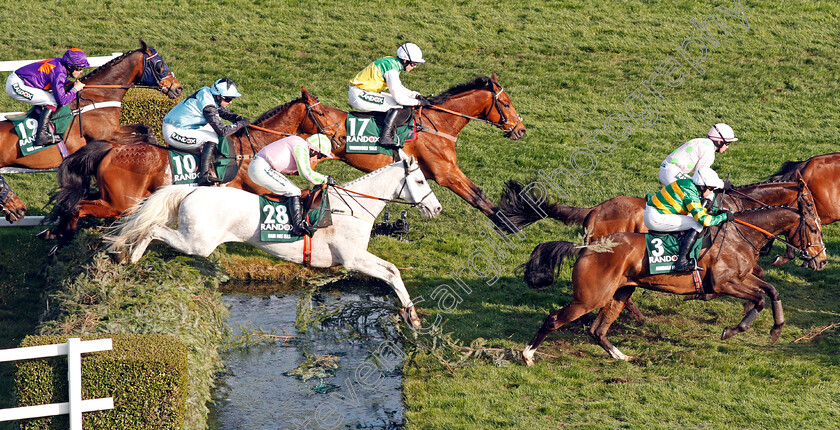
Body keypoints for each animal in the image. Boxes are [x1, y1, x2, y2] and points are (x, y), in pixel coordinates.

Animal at [105, 157, 440, 326]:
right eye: (420, 180)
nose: (436, 208)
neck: (352, 207)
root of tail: (193, 190)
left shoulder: (358, 257)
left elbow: (393, 271)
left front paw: (411, 315)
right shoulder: (353, 259)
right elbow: (391, 272)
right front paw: (412, 316)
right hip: (196, 242)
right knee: (153, 229)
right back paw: (129, 256)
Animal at [520, 180, 828, 364]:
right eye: (814, 228)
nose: (821, 259)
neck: (742, 231)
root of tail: (588, 246)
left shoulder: (742, 276)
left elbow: (770, 290)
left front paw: (775, 329)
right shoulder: (724, 283)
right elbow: (760, 298)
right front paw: (734, 329)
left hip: (620, 291)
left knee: (598, 330)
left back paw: (622, 355)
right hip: (590, 297)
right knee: (555, 319)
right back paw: (527, 355)